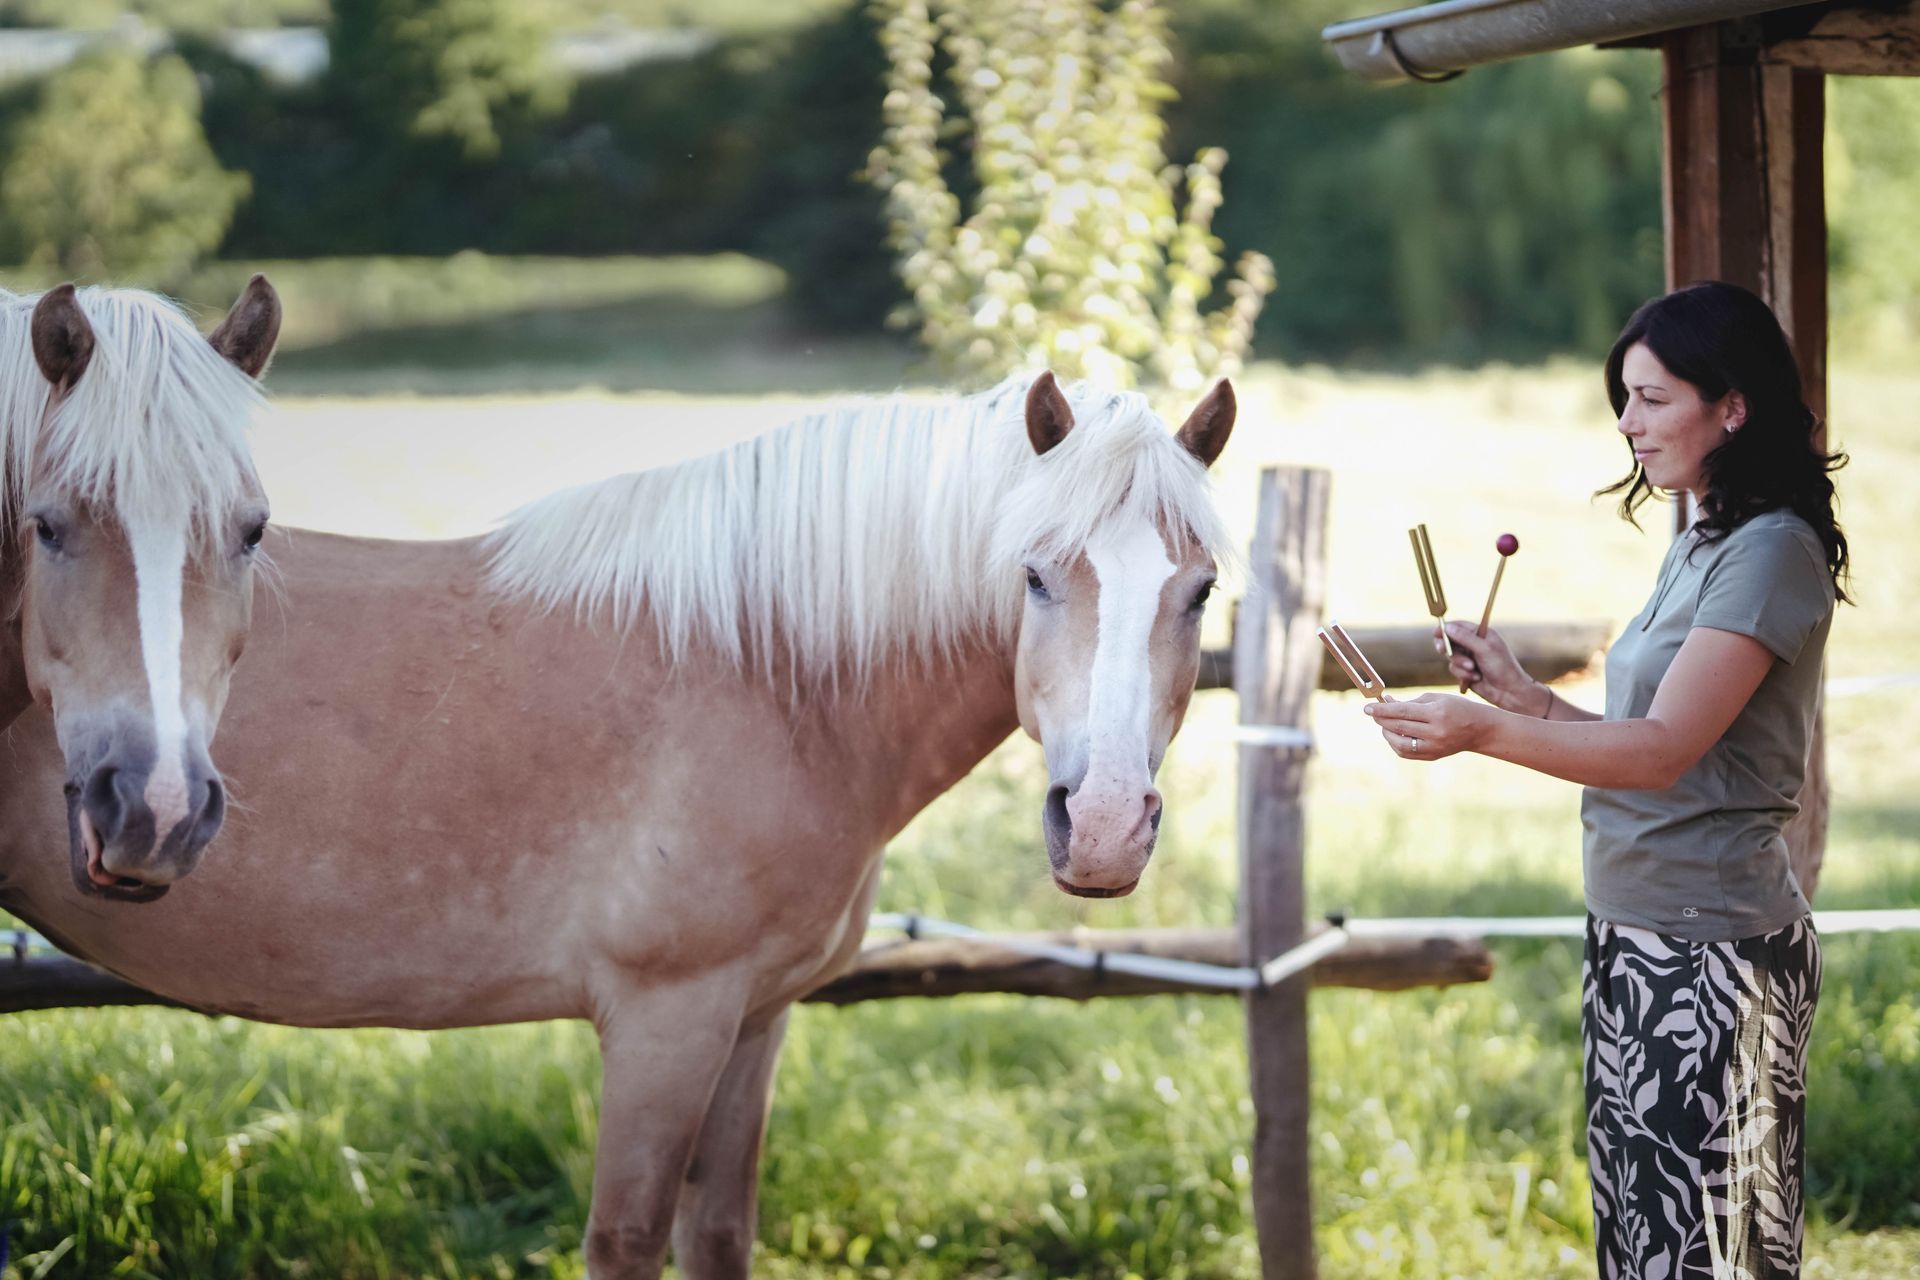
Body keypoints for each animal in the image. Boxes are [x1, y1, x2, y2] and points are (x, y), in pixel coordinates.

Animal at [0, 369, 1236, 1279]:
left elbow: (719, 1234)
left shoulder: (755, 1018)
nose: (1105, 826)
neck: (769, 674)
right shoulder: (664, 1021)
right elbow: (629, 1237)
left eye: (1203, 592)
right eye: (1033, 575)